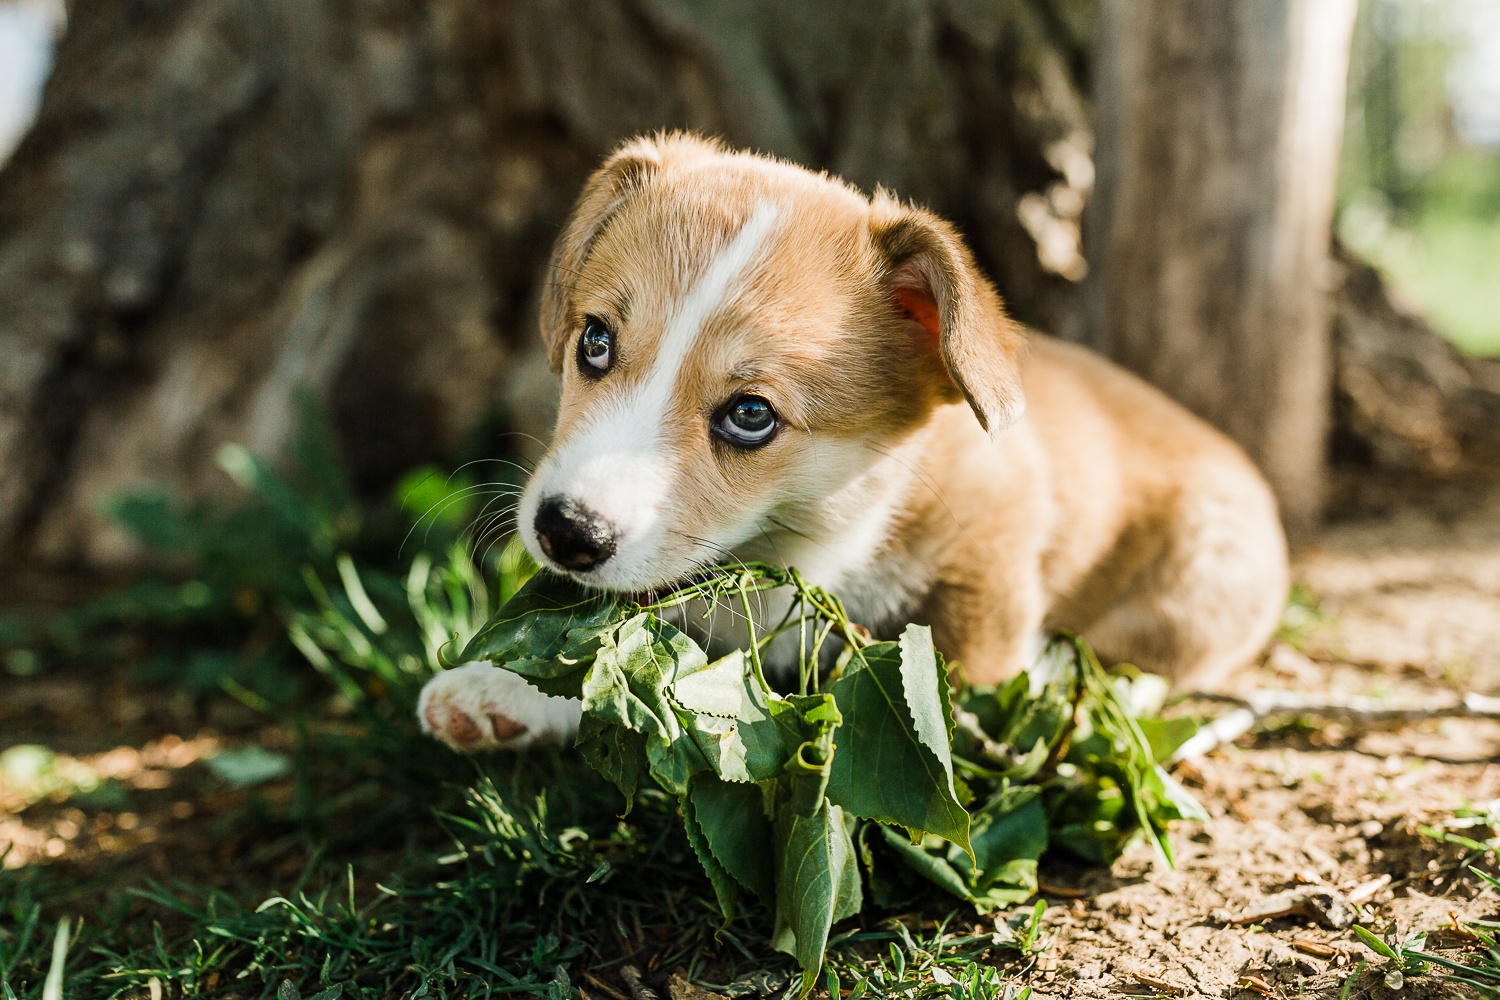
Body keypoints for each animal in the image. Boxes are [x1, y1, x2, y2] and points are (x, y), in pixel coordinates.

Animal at [423, 132, 1290, 749]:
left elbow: (970, 673)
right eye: (594, 343)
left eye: (751, 415)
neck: (811, 538)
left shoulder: (992, 548)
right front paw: (503, 691)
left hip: (1191, 591)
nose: (566, 532)